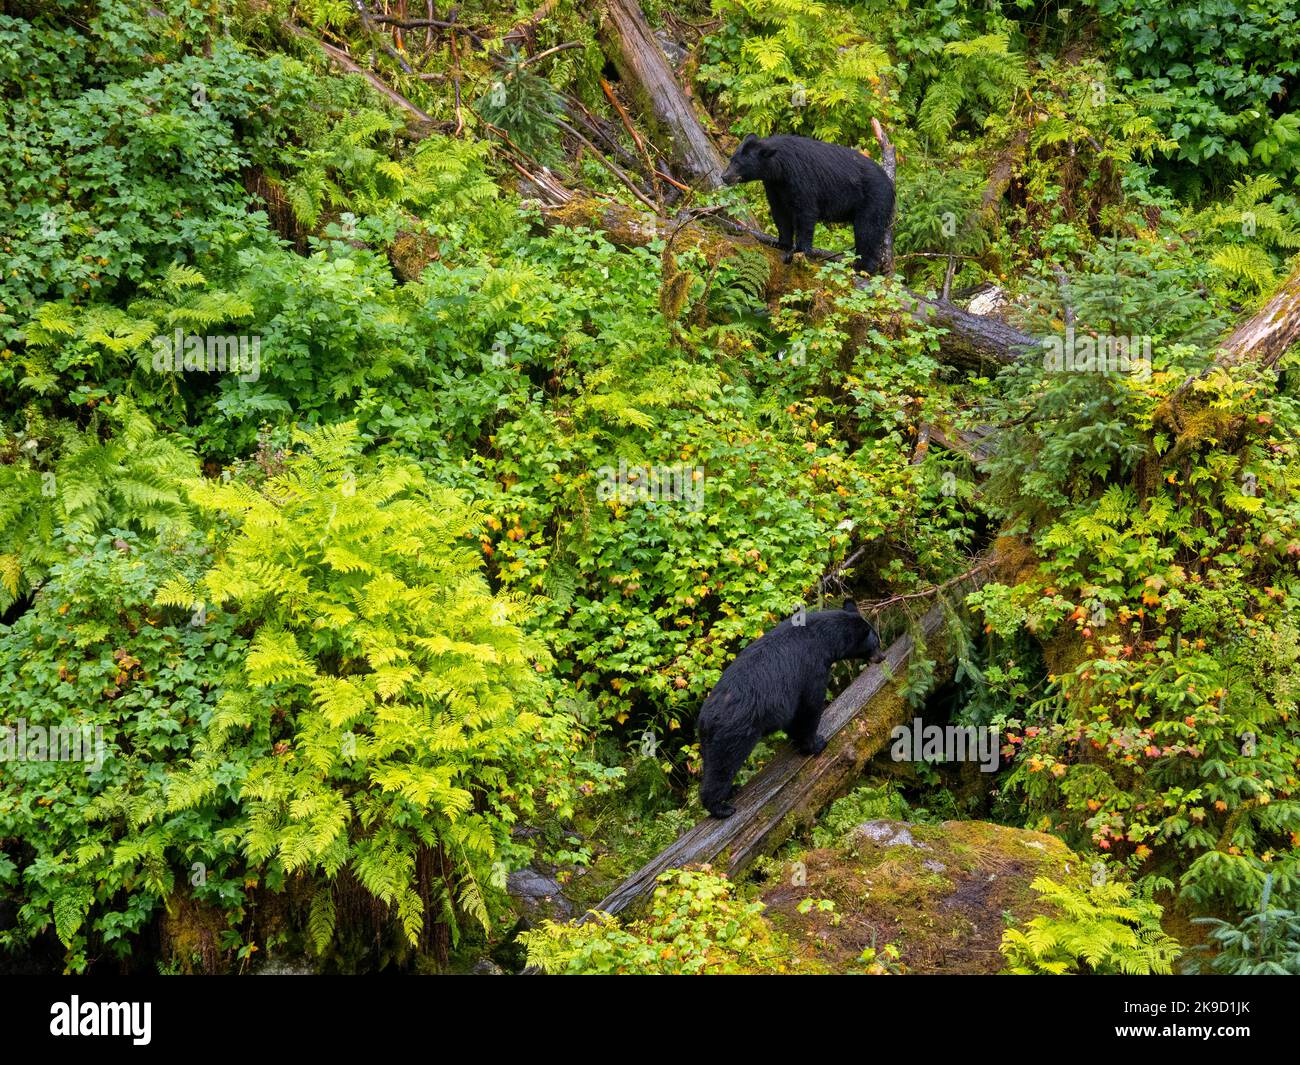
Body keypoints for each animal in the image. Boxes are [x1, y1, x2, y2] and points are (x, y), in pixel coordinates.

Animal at [696, 603, 889, 821]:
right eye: (875, 643)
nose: (882, 656)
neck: (825, 638)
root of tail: (706, 718)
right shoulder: (812, 667)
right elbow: (810, 707)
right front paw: (816, 744)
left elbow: (794, 716)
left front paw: (798, 739)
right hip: (734, 733)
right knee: (723, 766)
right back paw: (721, 807)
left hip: (708, 741)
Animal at [722, 134, 894, 274]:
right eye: (731, 159)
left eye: (738, 163)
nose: (724, 176)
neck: (780, 168)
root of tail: (890, 183)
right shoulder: (774, 186)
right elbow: (780, 213)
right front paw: (780, 243)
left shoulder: (801, 178)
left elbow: (805, 212)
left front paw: (799, 251)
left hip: (873, 199)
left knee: (867, 230)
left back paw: (863, 267)